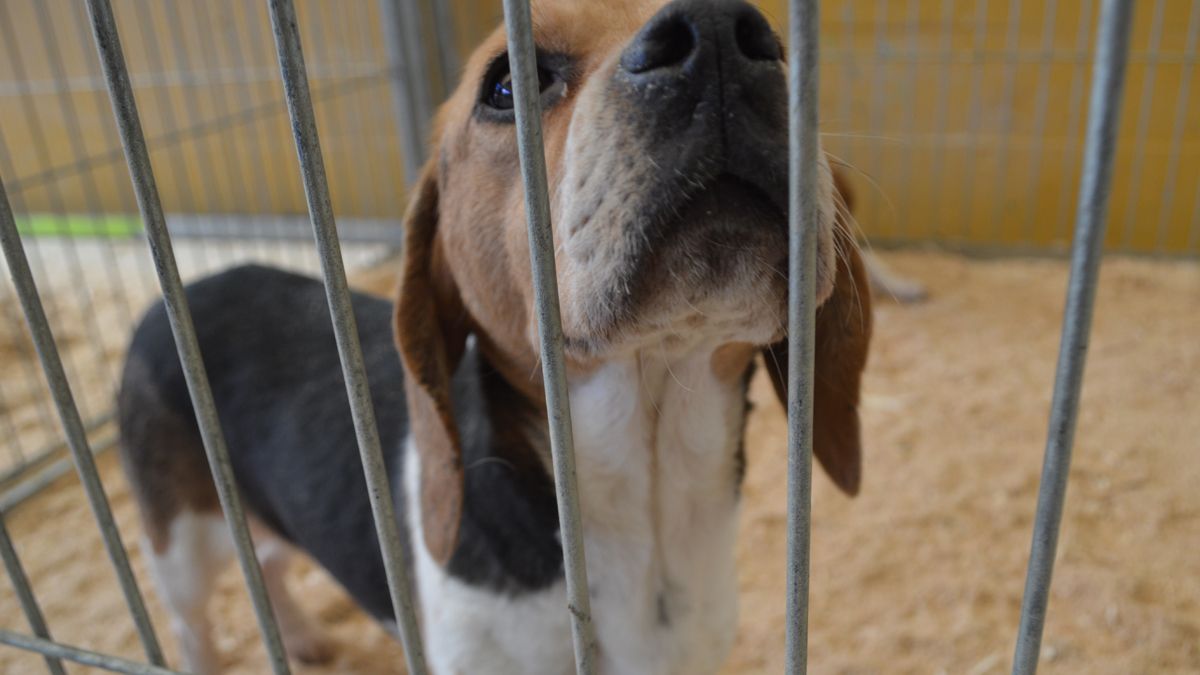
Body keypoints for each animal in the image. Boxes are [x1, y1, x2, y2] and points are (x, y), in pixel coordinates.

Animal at [117, 1, 873, 672]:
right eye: (508, 83)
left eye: (786, 51)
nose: (718, 31)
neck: (645, 501)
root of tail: (172, 296)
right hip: (183, 550)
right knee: (192, 625)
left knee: (271, 565)